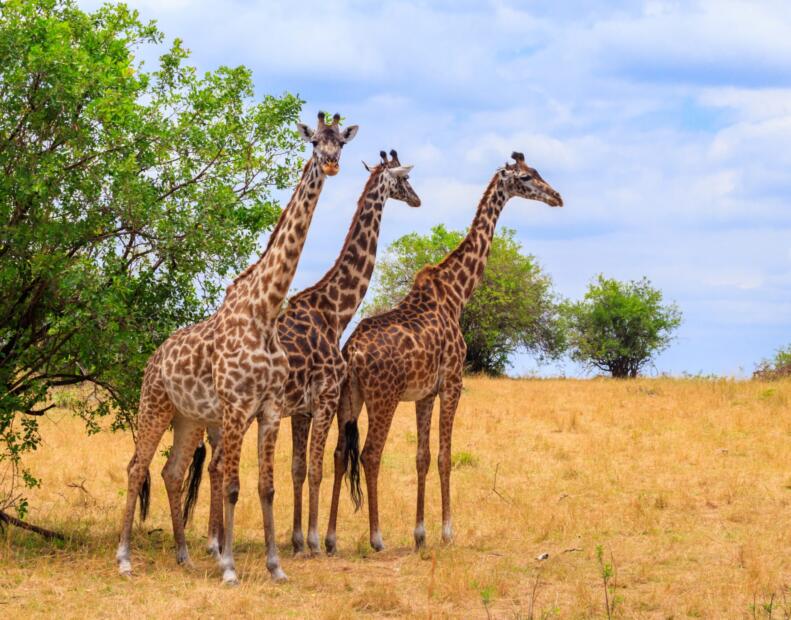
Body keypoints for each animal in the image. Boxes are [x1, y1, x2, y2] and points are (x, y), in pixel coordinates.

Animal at [117, 112, 358, 588]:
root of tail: (154, 358)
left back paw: (185, 557)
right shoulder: (235, 406)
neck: (264, 311)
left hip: (188, 417)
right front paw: (228, 566)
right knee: (137, 467)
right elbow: (230, 485)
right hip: (153, 404)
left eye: (342, 141)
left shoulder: (268, 408)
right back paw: (125, 559)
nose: (331, 163)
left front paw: (276, 566)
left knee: (171, 471)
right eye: (314, 142)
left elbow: (266, 486)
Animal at [193, 151, 420, 556]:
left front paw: (297, 539)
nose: (418, 200)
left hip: (222, 418)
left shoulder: (300, 409)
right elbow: (315, 468)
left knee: (215, 466)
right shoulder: (325, 397)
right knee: (219, 465)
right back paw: (217, 543)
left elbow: (298, 469)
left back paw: (214, 541)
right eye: (404, 180)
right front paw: (315, 541)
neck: (335, 311)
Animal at [326, 154, 564, 552]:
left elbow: (422, 457)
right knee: (371, 453)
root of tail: (353, 353)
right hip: (383, 397)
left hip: (350, 397)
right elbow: (445, 456)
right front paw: (448, 531)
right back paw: (376, 537)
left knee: (341, 453)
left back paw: (328, 538)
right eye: (528, 178)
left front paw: (420, 533)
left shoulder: (424, 393)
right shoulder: (453, 381)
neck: (458, 293)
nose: (557, 197)